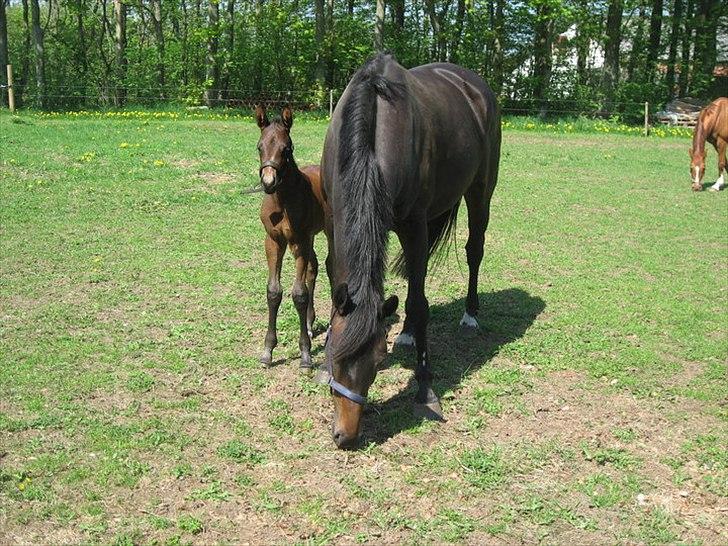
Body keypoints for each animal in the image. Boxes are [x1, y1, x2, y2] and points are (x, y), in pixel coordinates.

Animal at [253, 105, 328, 370]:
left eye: (287, 148)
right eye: (259, 146)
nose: (268, 181)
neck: (283, 201)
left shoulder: (299, 241)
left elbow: (299, 294)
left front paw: (305, 354)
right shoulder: (273, 241)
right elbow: (274, 292)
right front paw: (267, 351)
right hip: (311, 238)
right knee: (313, 269)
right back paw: (309, 323)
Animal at [322, 54, 500, 446]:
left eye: (376, 363)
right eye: (335, 355)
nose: (346, 437)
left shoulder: (413, 226)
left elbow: (420, 302)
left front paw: (425, 390)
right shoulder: (333, 222)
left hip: (480, 192)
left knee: (474, 250)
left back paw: (470, 314)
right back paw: (406, 331)